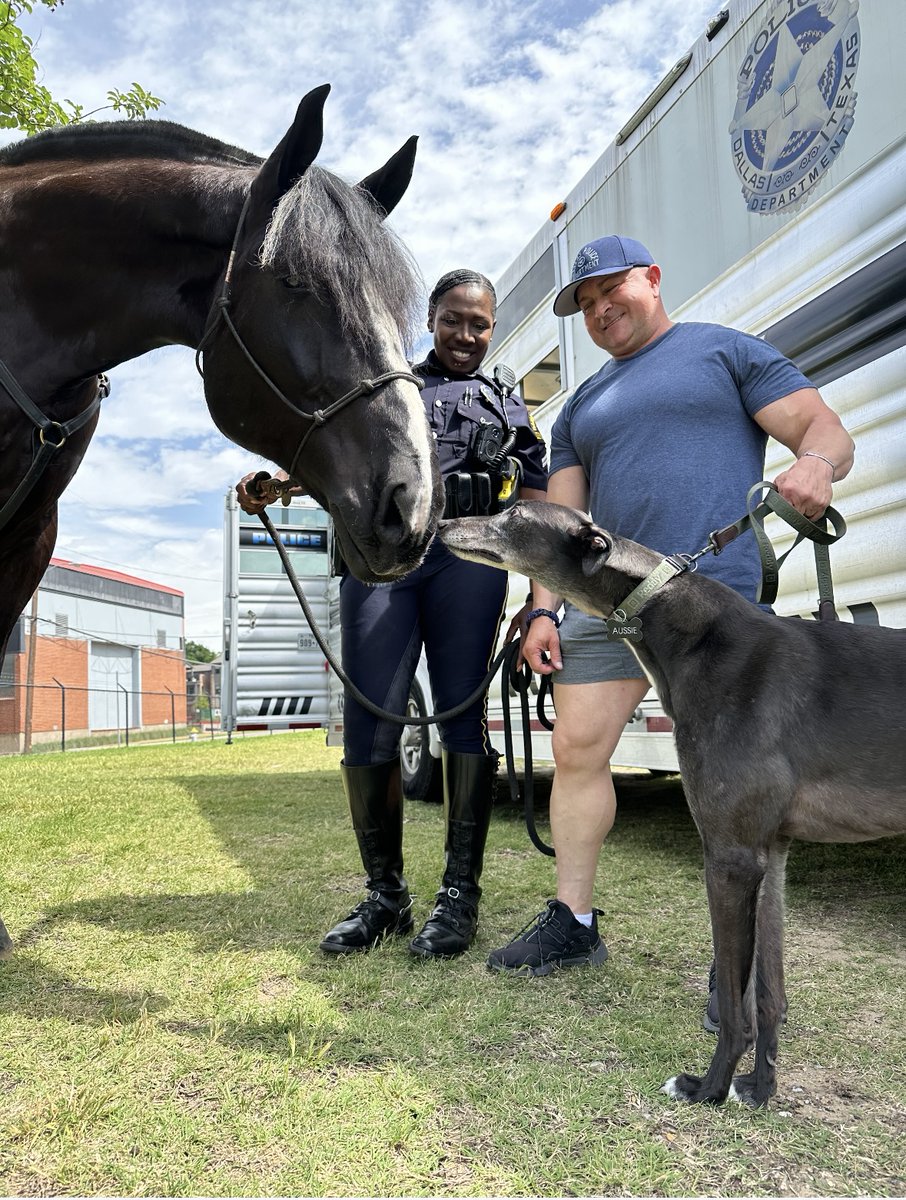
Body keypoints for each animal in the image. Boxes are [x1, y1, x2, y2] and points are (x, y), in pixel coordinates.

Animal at [441, 499, 906, 1104]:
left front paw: (709, 1088)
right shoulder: (771, 852)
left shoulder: (731, 857)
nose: (441, 525)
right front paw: (758, 1089)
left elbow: (735, 1003)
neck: (690, 628)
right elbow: (768, 994)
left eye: (516, 515)